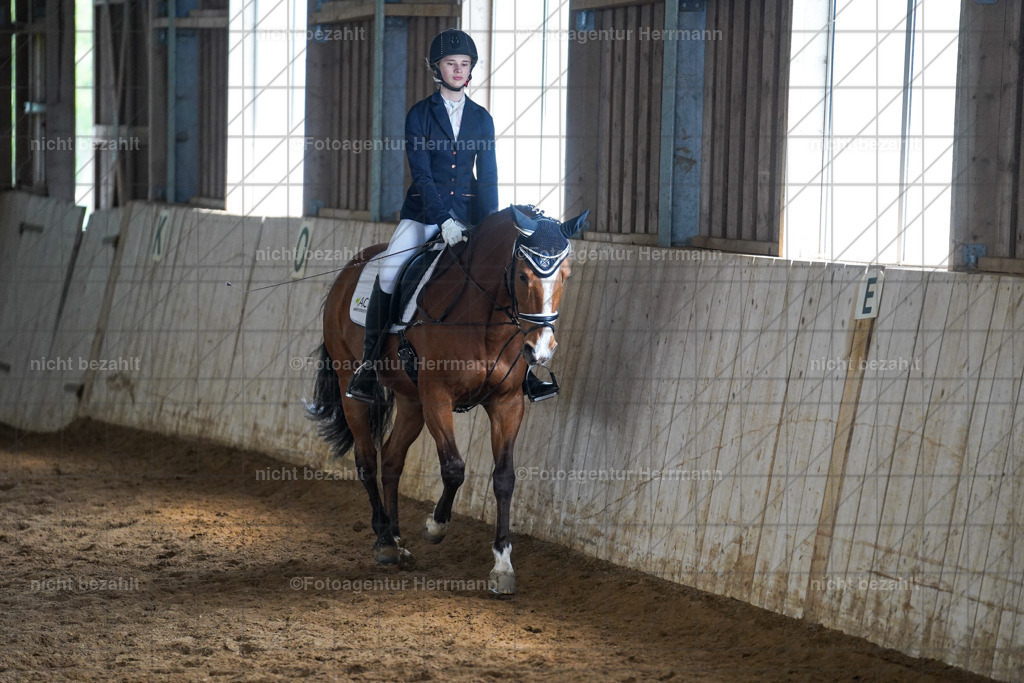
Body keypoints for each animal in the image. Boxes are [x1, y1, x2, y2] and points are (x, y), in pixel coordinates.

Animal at [306, 205, 589, 594]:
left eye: (565, 276)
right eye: (521, 276)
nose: (541, 350)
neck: (484, 319)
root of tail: (350, 268)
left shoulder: (506, 403)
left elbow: (504, 477)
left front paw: (502, 565)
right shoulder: (438, 397)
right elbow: (454, 468)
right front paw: (435, 526)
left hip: (412, 401)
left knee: (391, 459)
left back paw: (397, 538)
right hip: (354, 385)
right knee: (366, 460)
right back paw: (384, 542)